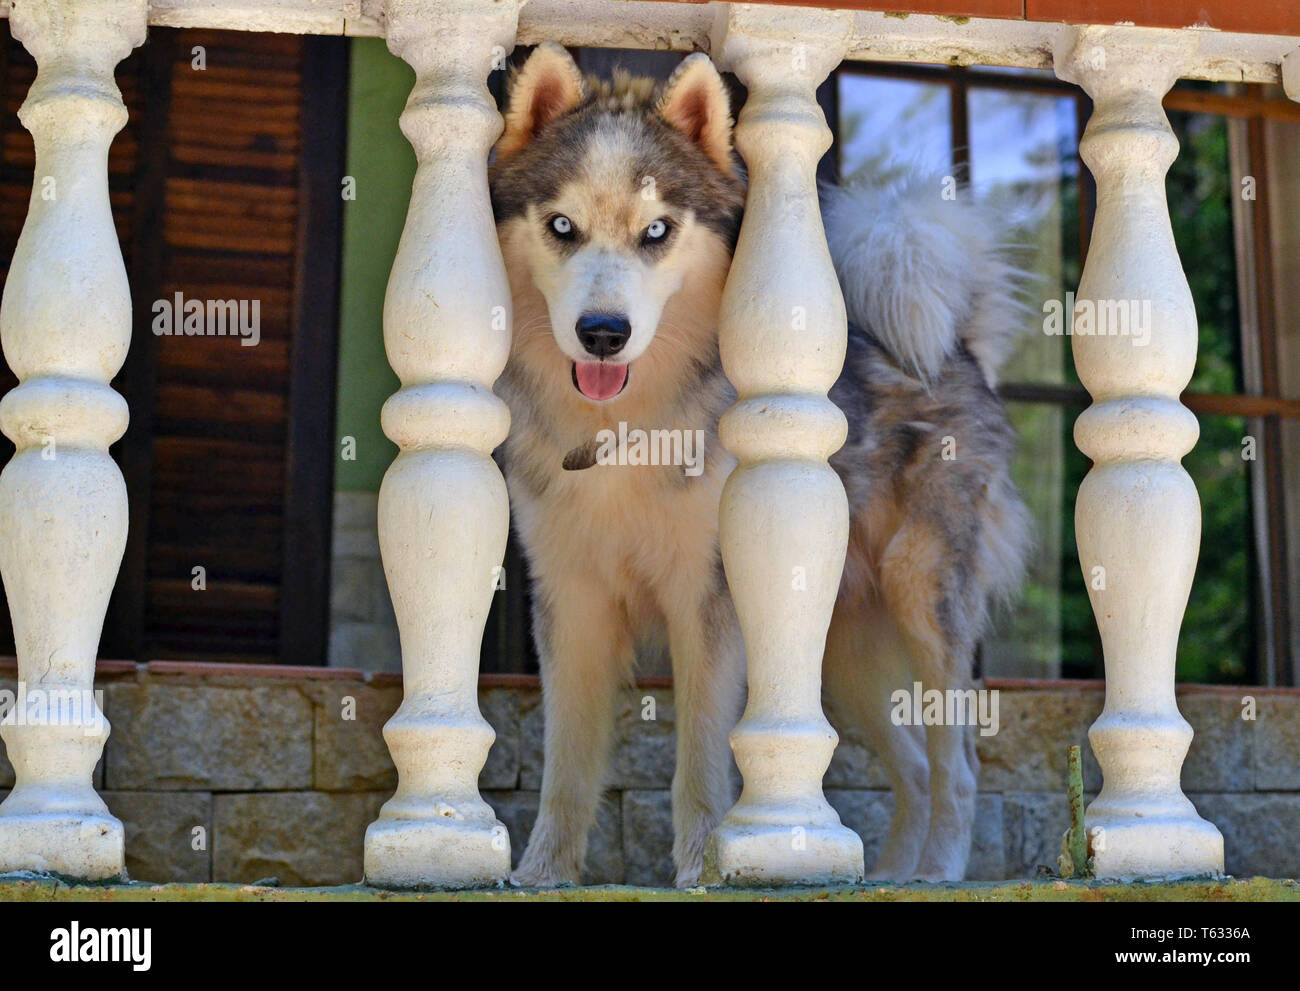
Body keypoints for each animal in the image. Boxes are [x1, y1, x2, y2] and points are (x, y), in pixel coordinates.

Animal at [488, 42, 1024, 884]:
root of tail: (955, 350)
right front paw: (542, 875)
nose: (603, 332)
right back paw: (889, 873)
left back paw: (936, 872)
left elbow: (701, 761)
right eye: (562, 226)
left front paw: (700, 867)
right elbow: (565, 766)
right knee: (911, 765)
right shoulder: (570, 601)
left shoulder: (706, 601)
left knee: (956, 766)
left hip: (922, 596)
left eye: (657, 231)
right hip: (835, 650)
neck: (624, 431)